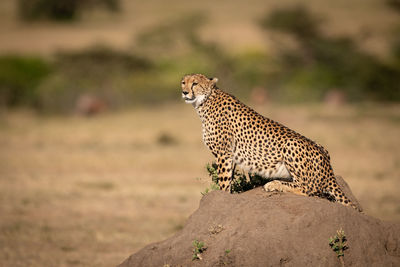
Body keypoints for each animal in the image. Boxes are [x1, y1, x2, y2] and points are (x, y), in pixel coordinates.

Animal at [183, 73, 360, 211]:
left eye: (195, 83)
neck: (204, 101)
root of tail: (328, 164)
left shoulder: (223, 154)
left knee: (309, 188)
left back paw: (274, 184)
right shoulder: (229, 156)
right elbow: (229, 178)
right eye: (183, 82)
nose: (184, 92)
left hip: (291, 144)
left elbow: (224, 181)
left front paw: (222, 197)